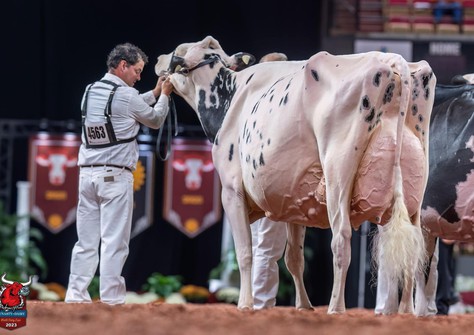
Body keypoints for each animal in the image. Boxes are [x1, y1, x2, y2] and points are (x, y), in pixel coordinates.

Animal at [156, 36, 436, 316]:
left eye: (178, 53)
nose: (158, 59)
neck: (229, 96)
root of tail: (389, 59)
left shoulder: (231, 189)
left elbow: (245, 251)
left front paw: (245, 303)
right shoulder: (294, 200)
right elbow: (294, 258)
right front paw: (303, 305)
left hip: (337, 176)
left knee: (341, 240)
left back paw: (336, 307)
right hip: (415, 185)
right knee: (414, 244)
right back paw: (405, 310)